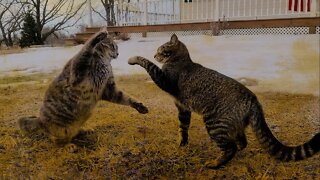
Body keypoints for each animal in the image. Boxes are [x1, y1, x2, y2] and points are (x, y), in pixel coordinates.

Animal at [19, 29, 149, 150]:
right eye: (113, 46)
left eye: (116, 47)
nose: (118, 53)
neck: (104, 62)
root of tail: (40, 120)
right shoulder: (77, 71)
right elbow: (86, 49)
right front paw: (100, 34)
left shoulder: (109, 89)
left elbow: (125, 97)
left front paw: (139, 106)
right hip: (61, 130)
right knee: (56, 141)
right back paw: (69, 146)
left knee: (73, 133)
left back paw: (85, 130)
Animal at [127, 33, 320, 169]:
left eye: (161, 49)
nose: (155, 54)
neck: (180, 60)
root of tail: (253, 98)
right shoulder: (183, 108)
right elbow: (183, 128)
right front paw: (182, 143)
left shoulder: (164, 80)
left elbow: (147, 63)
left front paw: (133, 58)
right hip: (233, 125)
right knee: (241, 142)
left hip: (214, 123)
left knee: (230, 147)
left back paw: (216, 163)